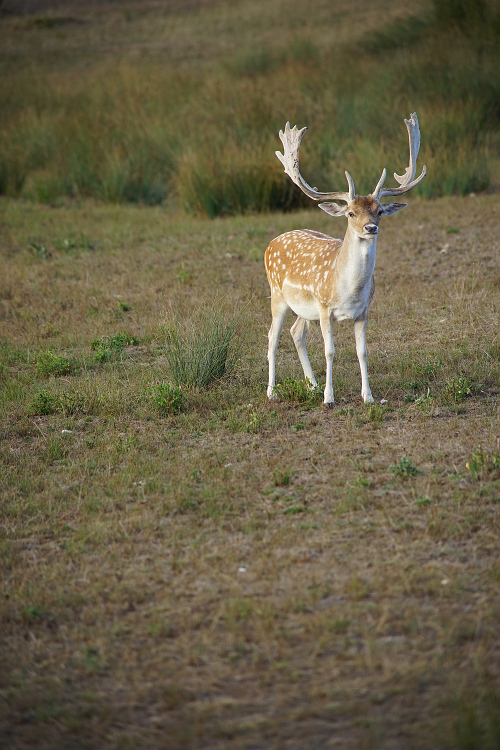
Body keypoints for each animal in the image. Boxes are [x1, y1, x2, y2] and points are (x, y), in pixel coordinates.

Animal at [266, 110, 426, 412]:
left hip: (303, 309)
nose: (370, 228)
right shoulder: (324, 308)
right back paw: (272, 393)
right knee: (272, 336)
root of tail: (271, 243)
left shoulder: (363, 311)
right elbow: (330, 351)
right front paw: (329, 398)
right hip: (277, 294)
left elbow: (362, 351)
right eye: (351, 213)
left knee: (296, 332)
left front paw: (368, 396)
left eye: (379, 211)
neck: (348, 291)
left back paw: (312, 386)